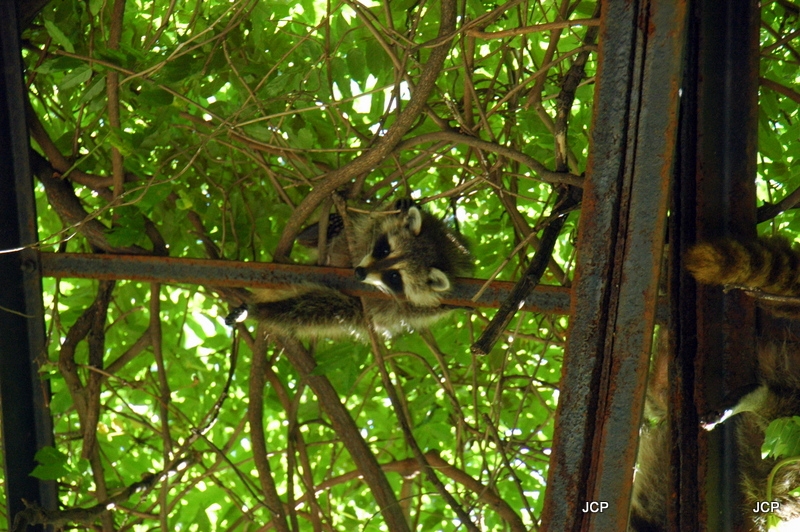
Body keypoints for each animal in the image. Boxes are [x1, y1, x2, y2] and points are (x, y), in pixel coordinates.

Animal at [225, 197, 472, 338]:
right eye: (384, 249)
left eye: (394, 277)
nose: (360, 273)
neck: (439, 248)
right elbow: (368, 225)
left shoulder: (404, 307)